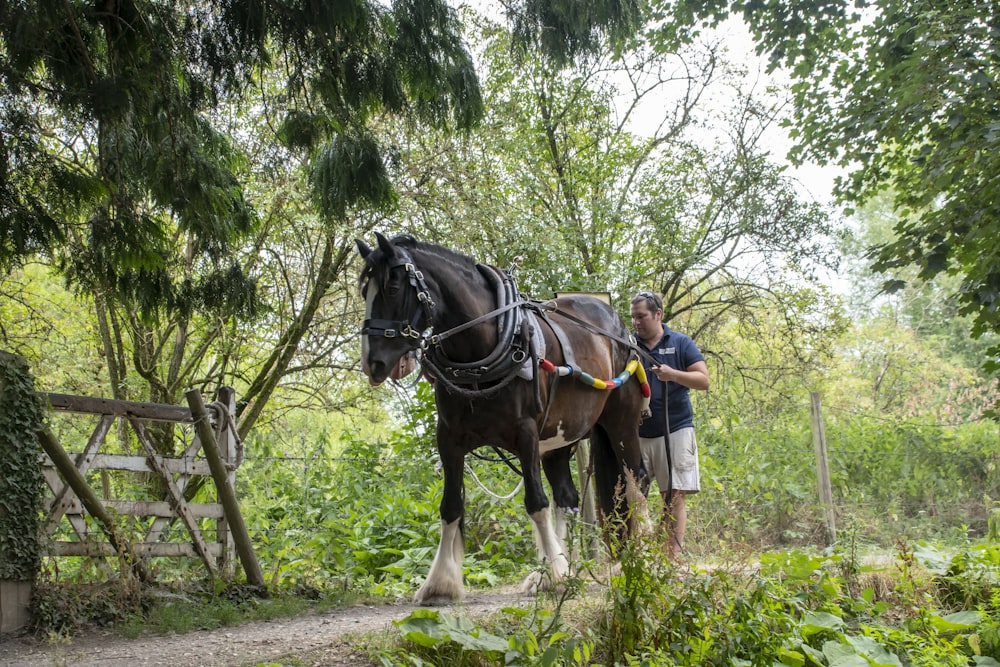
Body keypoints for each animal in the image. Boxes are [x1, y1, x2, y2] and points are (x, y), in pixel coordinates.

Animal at [356, 234, 652, 604]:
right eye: (363, 291)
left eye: (393, 287)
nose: (373, 363)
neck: (486, 344)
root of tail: (621, 328)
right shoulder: (449, 438)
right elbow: (450, 506)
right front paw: (440, 583)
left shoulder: (526, 434)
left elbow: (536, 502)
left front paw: (554, 575)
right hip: (559, 440)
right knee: (567, 498)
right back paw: (566, 565)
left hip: (620, 424)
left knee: (637, 481)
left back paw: (642, 557)